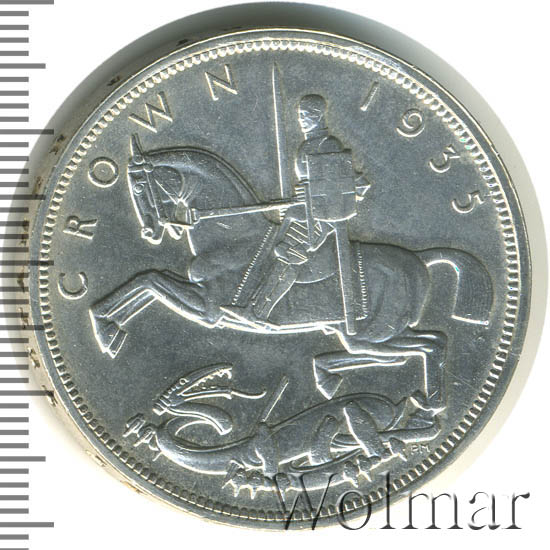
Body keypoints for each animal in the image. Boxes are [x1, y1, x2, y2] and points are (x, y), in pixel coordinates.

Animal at [89, 136, 493, 412]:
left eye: (140, 186)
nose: (149, 231)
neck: (231, 233)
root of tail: (419, 259)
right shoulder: (201, 298)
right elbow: (145, 281)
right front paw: (108, 327)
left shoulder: (208, 307)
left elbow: (149, 281)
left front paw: (106, 326)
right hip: (372, 334)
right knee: (422, 345)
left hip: (373, 333)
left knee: (420, 348)